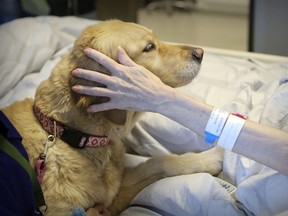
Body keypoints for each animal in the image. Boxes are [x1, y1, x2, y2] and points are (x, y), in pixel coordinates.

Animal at [1, 19, 224, 215]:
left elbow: (160, 161)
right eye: (148, 47)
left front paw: (208, 158)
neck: (70, 134)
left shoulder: (113, 195)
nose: (200, 53)